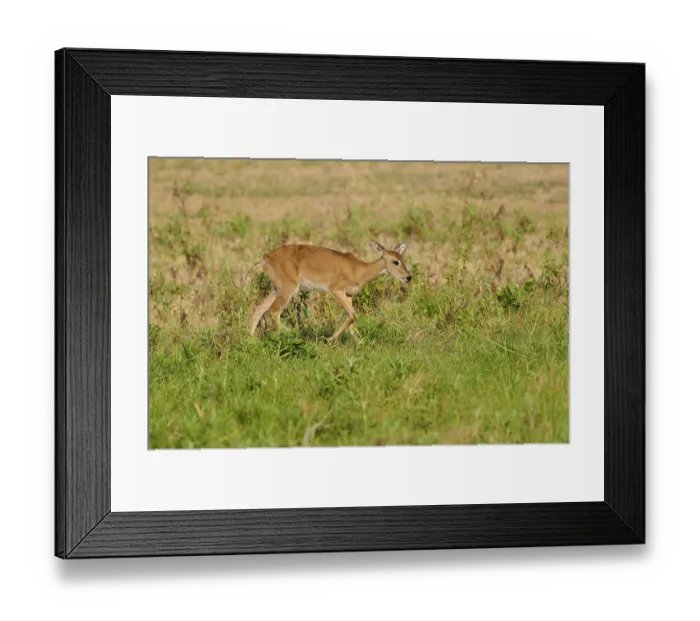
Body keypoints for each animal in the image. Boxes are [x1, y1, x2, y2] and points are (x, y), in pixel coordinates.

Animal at [249, 240, 412, 343]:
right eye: (395, 262)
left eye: (403, 259)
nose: (408, 277)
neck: (359, 270)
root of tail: (266, 257)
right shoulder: (336, 289)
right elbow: (353, 314)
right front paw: (329, 339)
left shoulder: (349, 295)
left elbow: (351, 316)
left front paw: (356, 341)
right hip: (288, 288)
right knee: (273, 310)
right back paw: (290, 336)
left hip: (276, 288)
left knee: (259, 307)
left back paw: (250, 339)